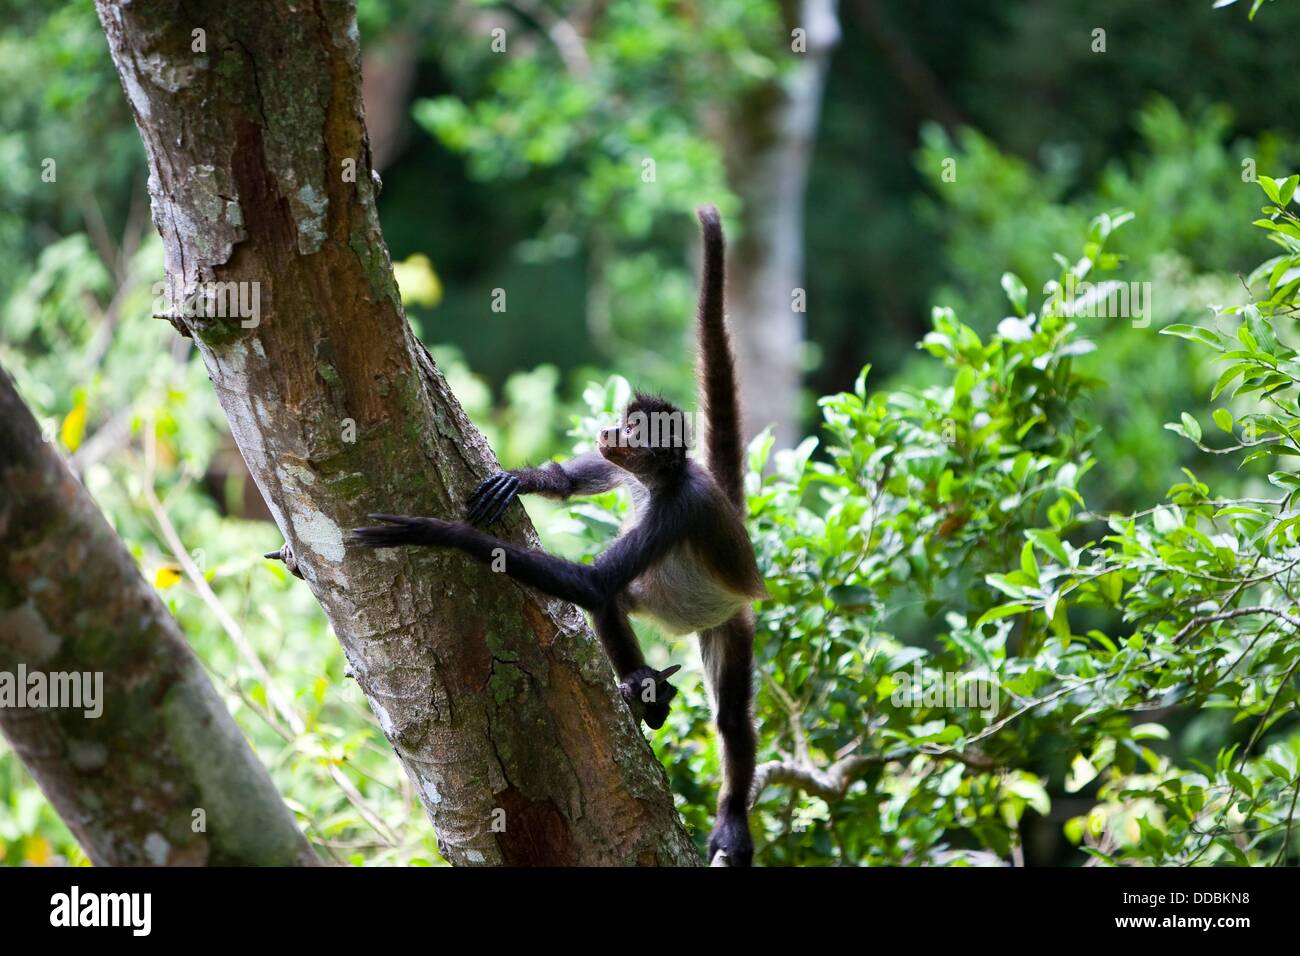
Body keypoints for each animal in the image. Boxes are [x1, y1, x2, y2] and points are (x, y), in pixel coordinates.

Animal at [351, 204, 764, 868]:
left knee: (729, 719)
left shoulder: (676, 510)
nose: (608, 432)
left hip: (733, 620)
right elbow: (580, 516)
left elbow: (591, 581)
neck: (662, 481)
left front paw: (429, 532)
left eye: (633, 430)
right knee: (613, 602)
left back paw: (729, 812)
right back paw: (643, 687)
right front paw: (516, 481)